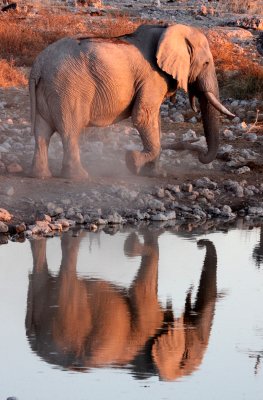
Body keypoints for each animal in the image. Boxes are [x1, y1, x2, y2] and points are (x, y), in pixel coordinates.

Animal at [25, 228, 219, 382]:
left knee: (38, 272)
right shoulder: (146, 321)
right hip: (69, 318)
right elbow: (145, 279)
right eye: (187, 354)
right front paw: (134, 240)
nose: (199, 243)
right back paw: (79, 238)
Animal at [29, 21, 235, 178]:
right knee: (70, 132)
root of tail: (38, 65)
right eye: (206, 63)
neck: (166, 29)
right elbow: (142, 117)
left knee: (41, 132)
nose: (201, 157)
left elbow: (155, 120)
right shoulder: (152, 77)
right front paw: (132, 162)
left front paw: (156, 174)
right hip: (67, 90)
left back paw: (41, 175)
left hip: (50, 90)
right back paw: (79, 177)